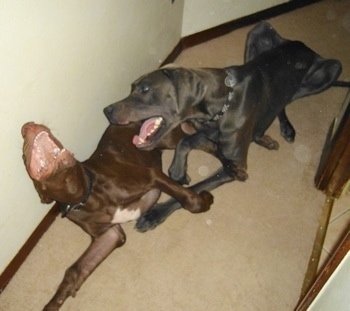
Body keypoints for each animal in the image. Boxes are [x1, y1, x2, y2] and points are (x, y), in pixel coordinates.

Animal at [23, 122, 213, 311]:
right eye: (24, 158)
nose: (27, 126)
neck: (87, 195)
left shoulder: (151, 176)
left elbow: (190, 202)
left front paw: (205, 199)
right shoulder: (109, 234)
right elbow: (74, 270)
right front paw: (53, 303)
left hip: (170, 138)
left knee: (198, 140)